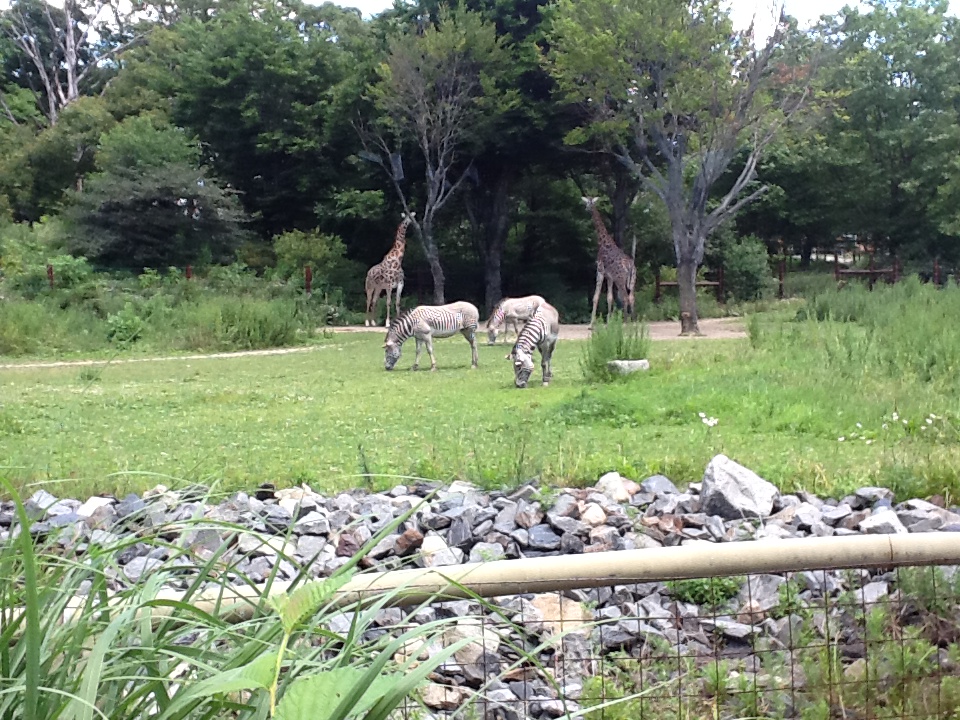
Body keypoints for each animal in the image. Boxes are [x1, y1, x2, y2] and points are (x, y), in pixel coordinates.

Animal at [582, 197, 636, 328]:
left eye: (590, 202)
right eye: (586, 202)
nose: (586, 208)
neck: (603, 242)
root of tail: (630, 265)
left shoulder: (600, 271)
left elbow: (596, 297)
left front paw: (591, 324)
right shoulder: (610, 277)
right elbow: (609, 298)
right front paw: (609, 322)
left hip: (620, 280)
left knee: (625, 297)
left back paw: (625, 323)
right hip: (632, 280)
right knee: (631, 297)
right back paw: (633, 322)